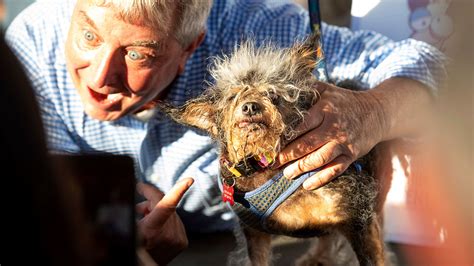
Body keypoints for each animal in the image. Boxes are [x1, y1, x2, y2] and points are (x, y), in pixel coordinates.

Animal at [161, 33, 386, 266]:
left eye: (272, 93)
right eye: (232, 97)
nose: (250, 106)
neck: (262, 162)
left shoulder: (358, 215)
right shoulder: (253, 234)